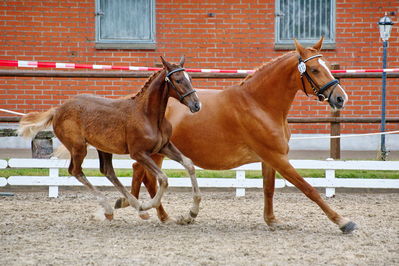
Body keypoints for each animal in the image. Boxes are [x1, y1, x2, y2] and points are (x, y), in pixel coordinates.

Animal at [18, 56, 203, 222]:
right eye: (178, 80)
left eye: (190, 78)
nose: (196, 105)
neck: (148, 115)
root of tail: (57, 110)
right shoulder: (139, 153)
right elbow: (163, 179)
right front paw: (148, 205)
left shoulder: (164, 146)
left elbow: (189, 164)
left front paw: (191, 213)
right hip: (79, 148)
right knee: (76, 171)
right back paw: (116, 208)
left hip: (103, 148)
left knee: (107, 171)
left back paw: (132, 207)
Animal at [117, 37, 358, 233]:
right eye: (315, 70)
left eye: (328, 66)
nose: (340, 98)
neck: (259, 104)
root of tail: (137, 103)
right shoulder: (277, 157)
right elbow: (309, 189)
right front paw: (343, 222)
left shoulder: (270, 158)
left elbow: (269, 189)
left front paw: (272, 220)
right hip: (155, 152)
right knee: (146, 175)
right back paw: (156, 213)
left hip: (157, 152)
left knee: (142, 174)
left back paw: (149, 211)